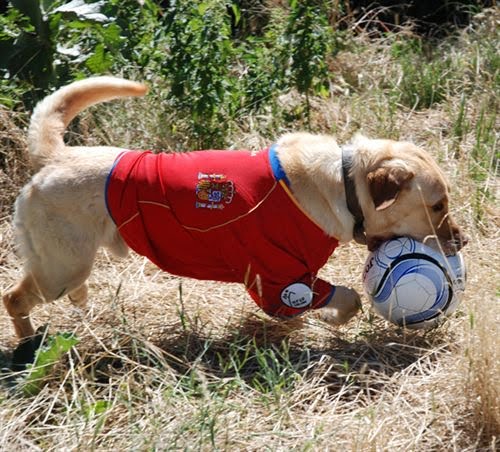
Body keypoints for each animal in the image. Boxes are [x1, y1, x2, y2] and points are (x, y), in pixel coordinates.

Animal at [1, 78, 466, 346]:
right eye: (438, 205)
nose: (463, 242)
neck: (343, 180)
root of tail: (55, 156)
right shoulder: (281, 279)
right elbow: (347, 298)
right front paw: (329, 322)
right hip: (60, 269)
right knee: (14, 297)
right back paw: (27, 343)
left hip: (71, 264)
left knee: (65, 291)